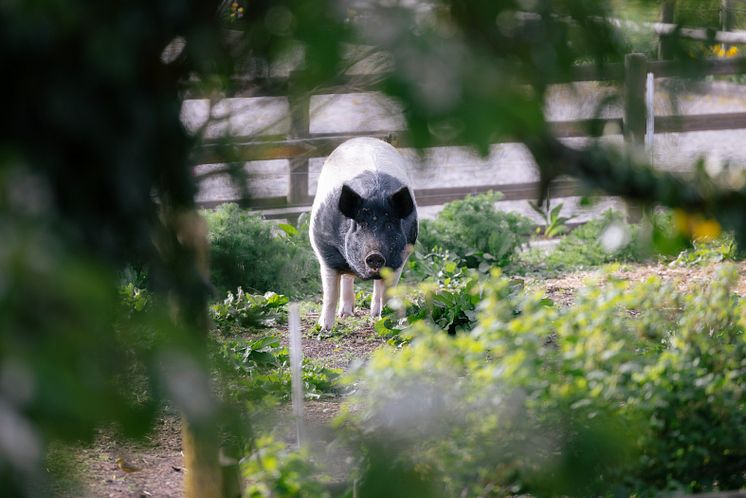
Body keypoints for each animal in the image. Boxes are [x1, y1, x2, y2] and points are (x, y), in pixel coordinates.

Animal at [306, 137, 416, 330]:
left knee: (376, 286)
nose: (375, 255)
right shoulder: (325, 252)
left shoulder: (400, 258)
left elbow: (388, 294)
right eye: (361, 224)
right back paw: (345, 314)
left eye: (389, 224)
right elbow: (330, 294)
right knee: (347, 278)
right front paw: (324, 328)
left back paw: (373, 313)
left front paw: (388, 322)